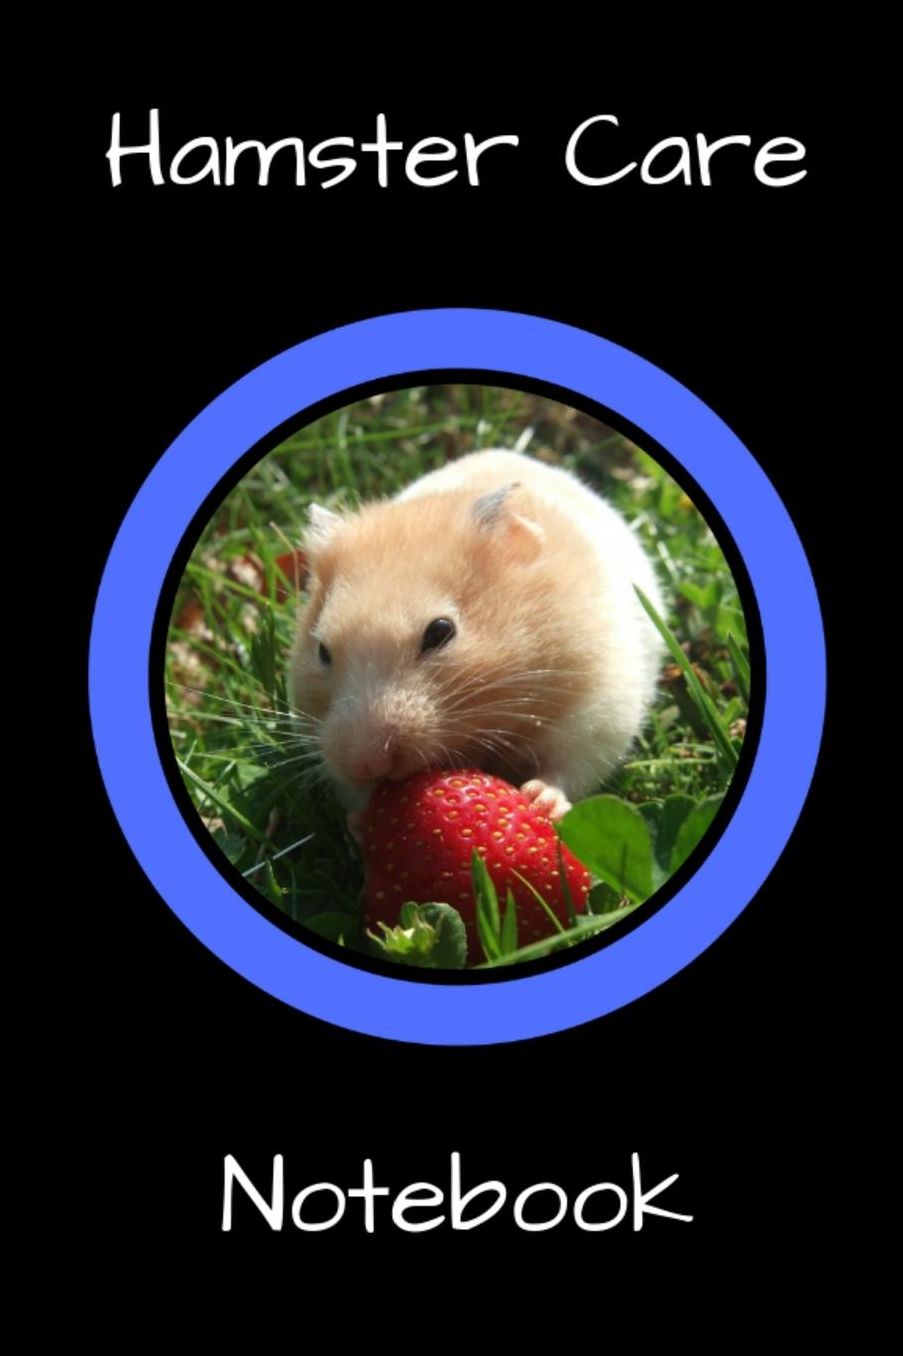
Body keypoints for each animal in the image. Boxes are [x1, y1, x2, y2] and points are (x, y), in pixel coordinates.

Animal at [289, 449, 664, 821]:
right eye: (322, 651)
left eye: (440, 631)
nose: (364, 765)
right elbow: (356, 797)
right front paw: (360, 819)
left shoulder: (598, 711)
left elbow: (568, 768)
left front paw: (539, 799)